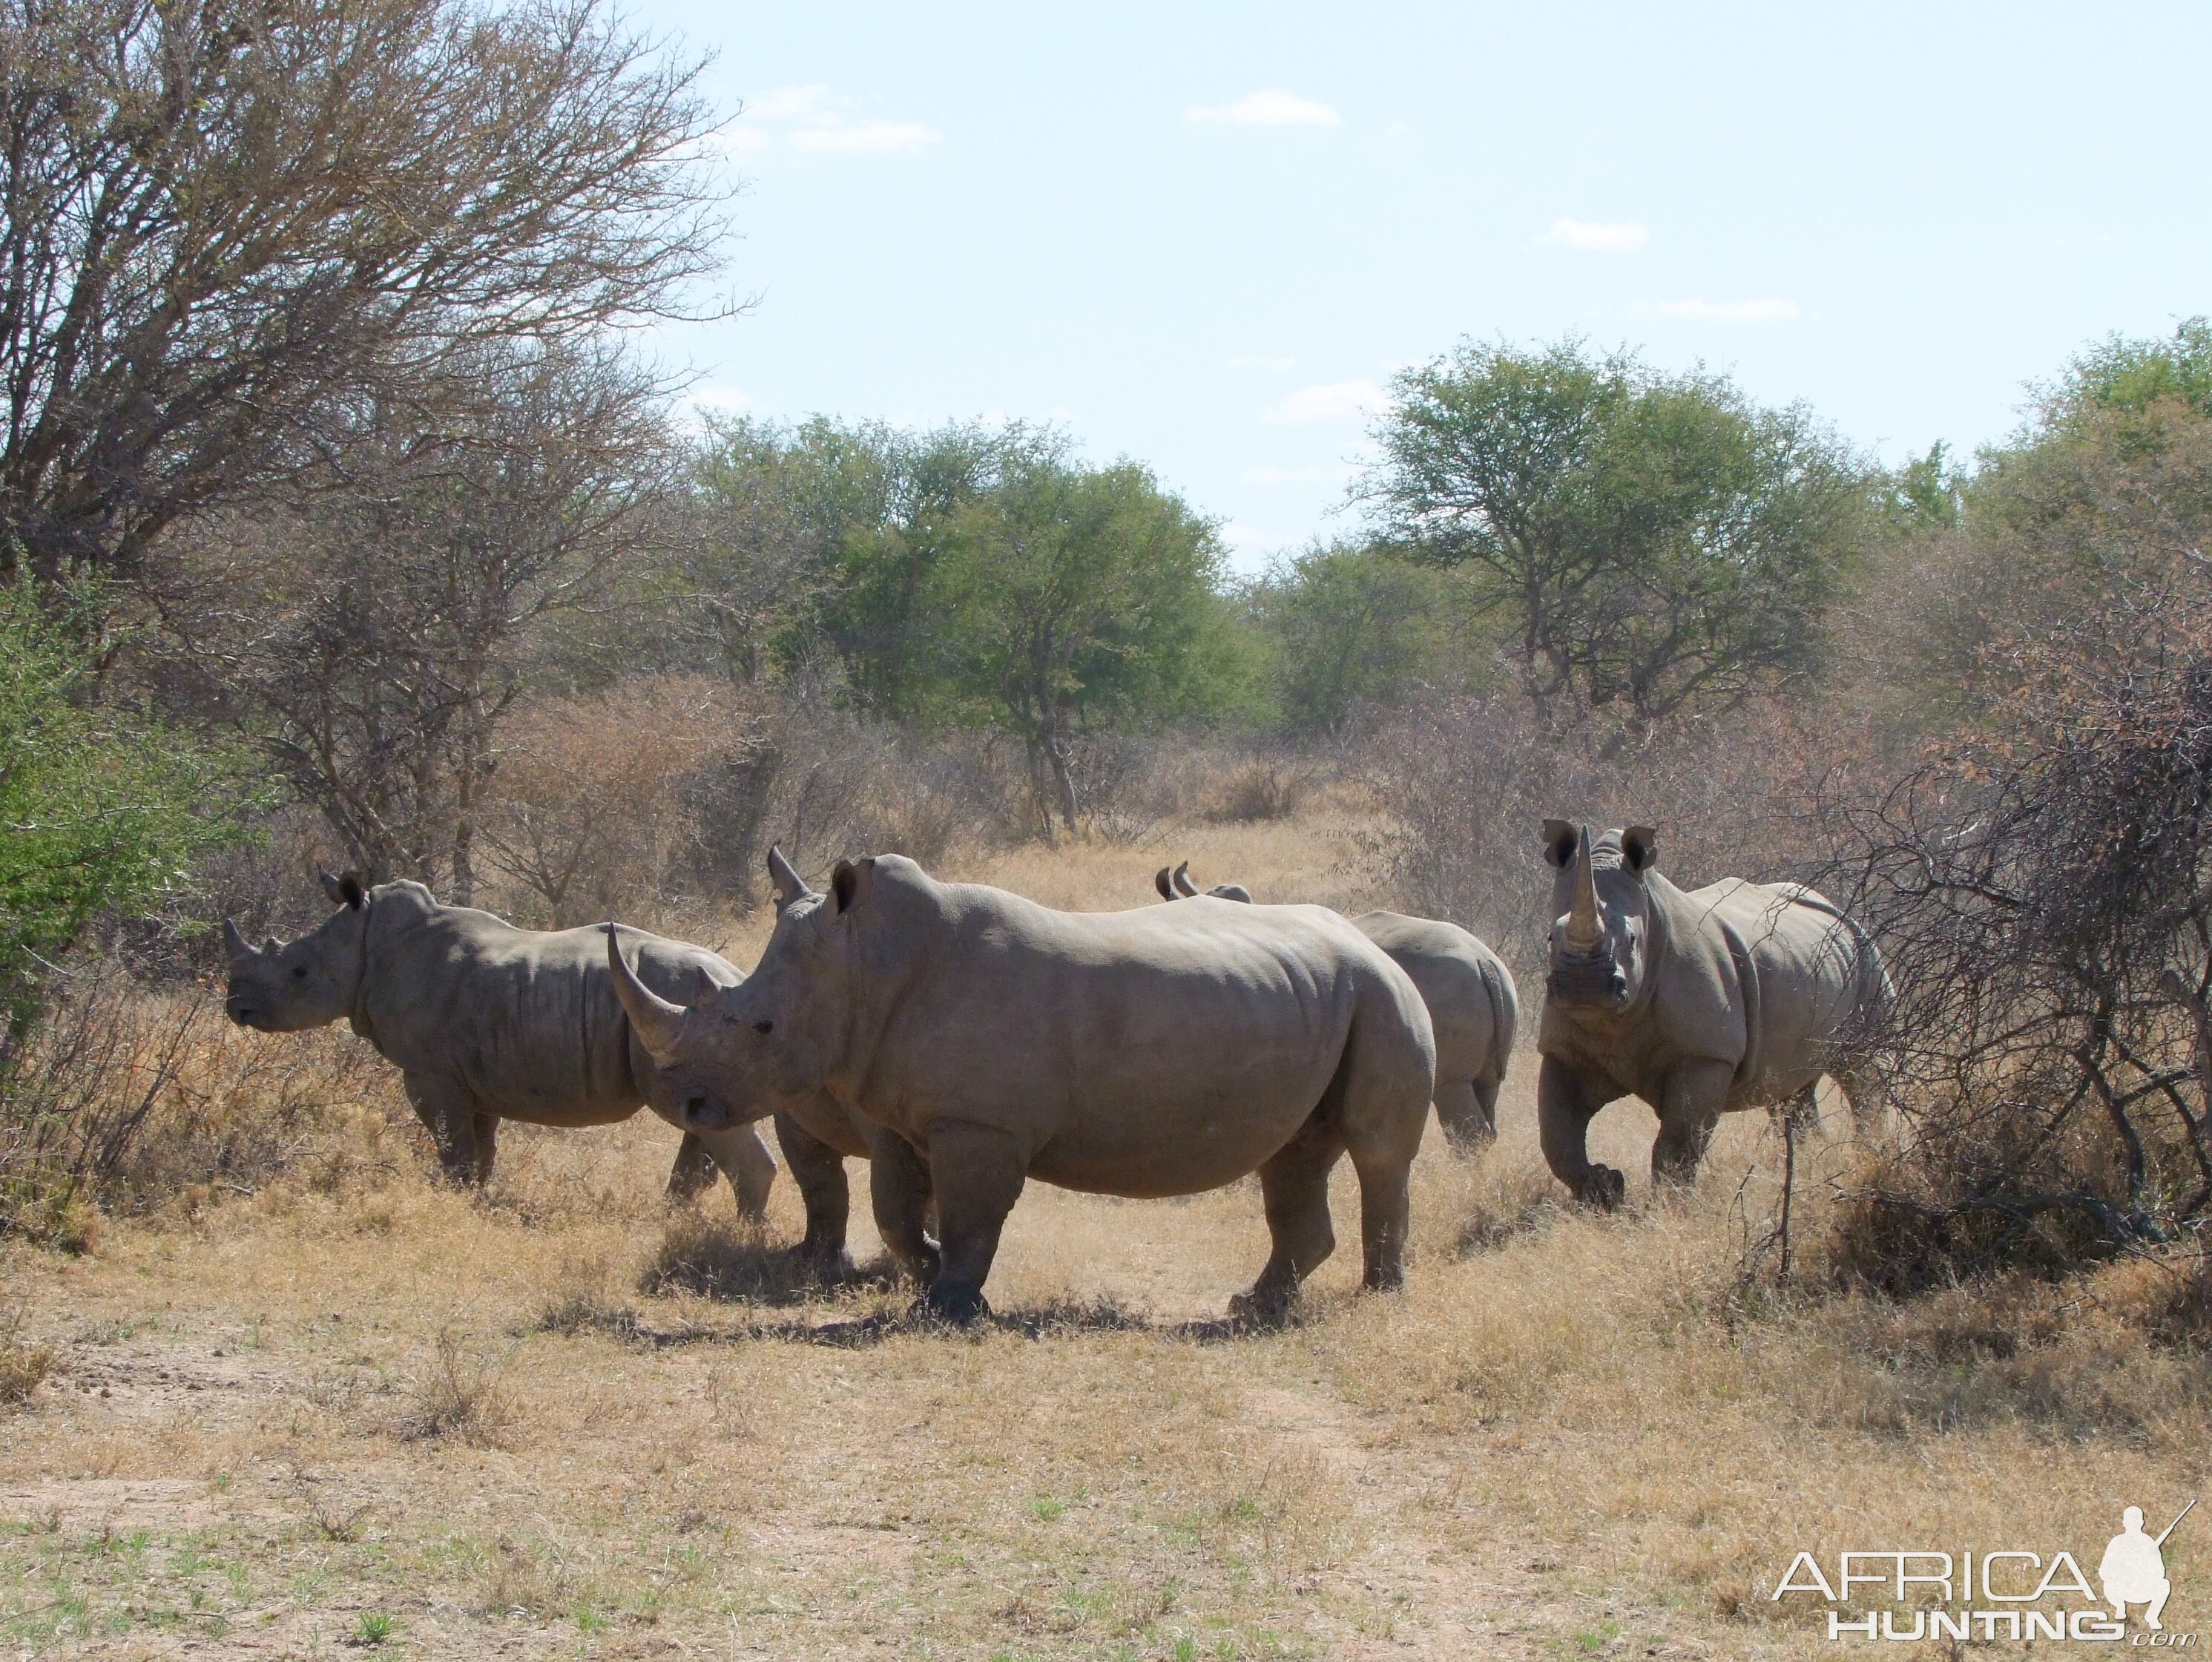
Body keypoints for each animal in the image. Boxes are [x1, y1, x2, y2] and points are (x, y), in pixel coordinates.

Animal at [224, 872, 778, 1221]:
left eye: (299, 972)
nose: (237, 1007)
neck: (366, 943)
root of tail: (738, 980)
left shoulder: (431, 1073)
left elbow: (452, 1144)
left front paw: (453, 1200)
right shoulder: (474, 1075)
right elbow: (480, 1147)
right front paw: (476, 1198)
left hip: (683, 1011)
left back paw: (743, 1233)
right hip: (699, 1024)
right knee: (702, 1122)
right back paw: (673, 1219)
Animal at [1539, 823, 1884, 1203]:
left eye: (1631, 939)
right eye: (1550, 938)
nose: (1583, 986)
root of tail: (1838, 910)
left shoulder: (1706, 1054)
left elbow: (1677, 1143)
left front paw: (1669, 1203)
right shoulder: (1563, 1050)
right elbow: (1557, 1138)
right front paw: (1606, 1190)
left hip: (1867, 955)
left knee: (1862, 1069)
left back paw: (1868, 1152)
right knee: (1791, 1090)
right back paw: (1813, 1163)